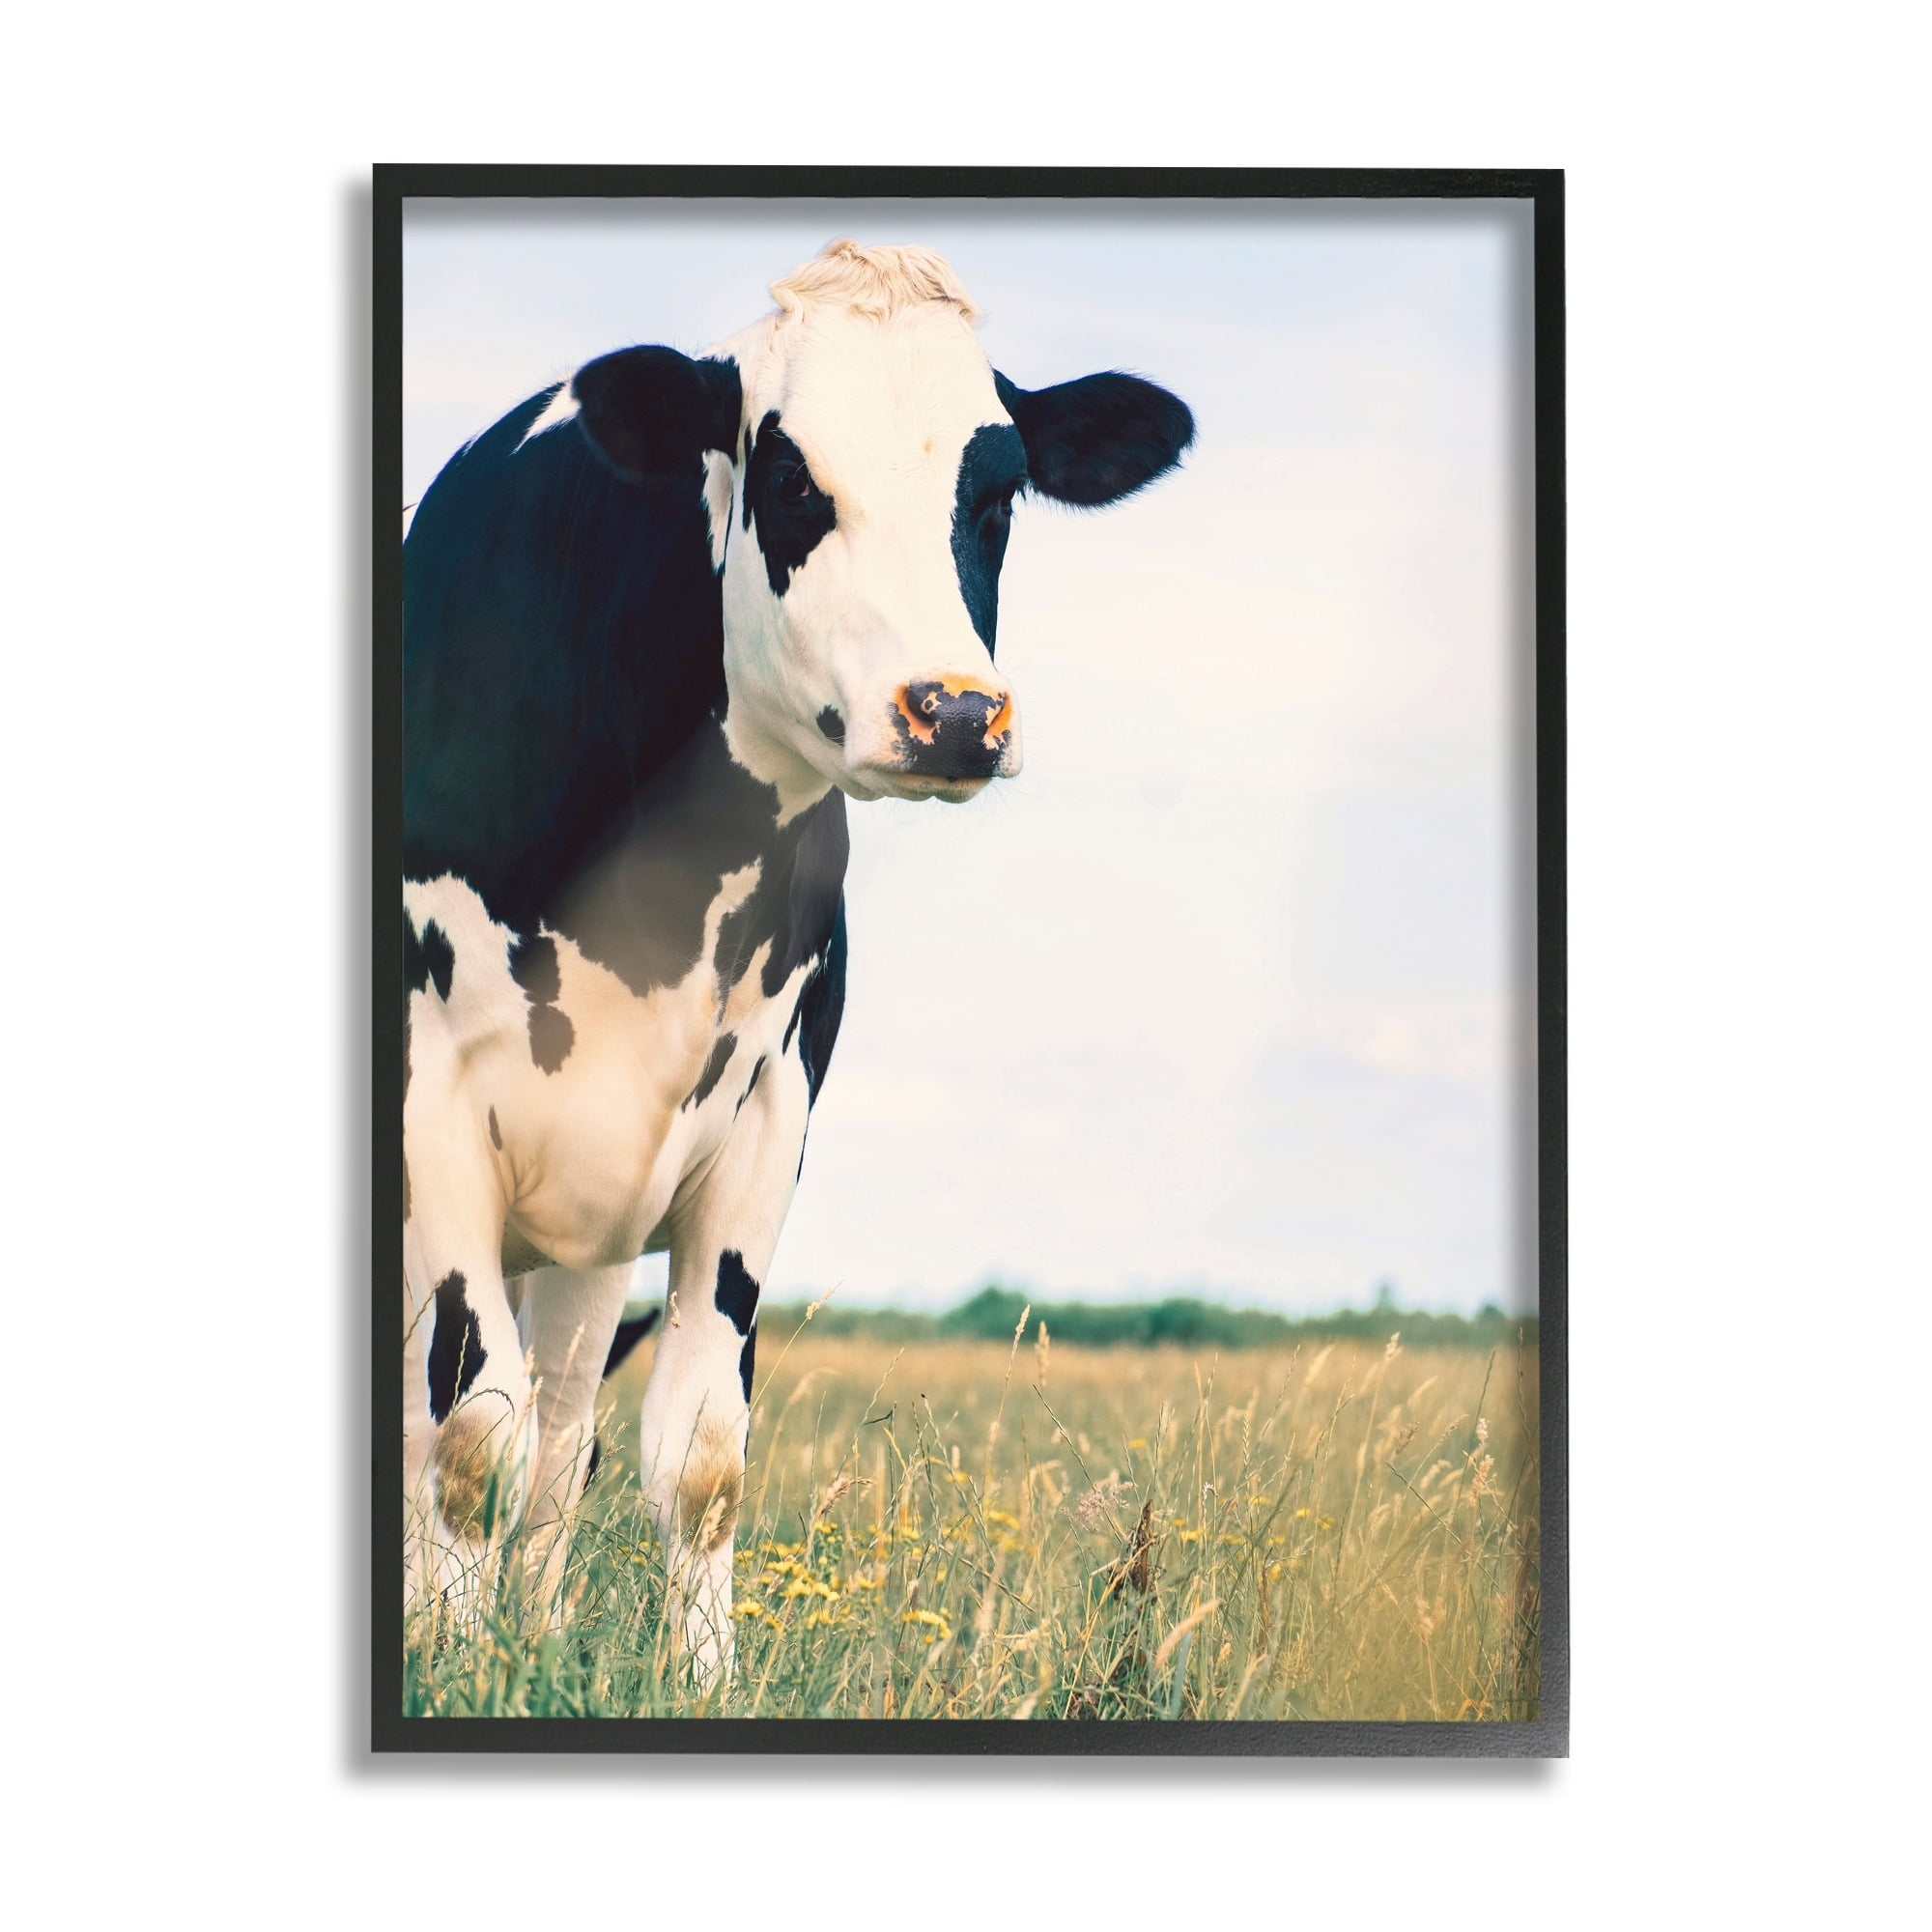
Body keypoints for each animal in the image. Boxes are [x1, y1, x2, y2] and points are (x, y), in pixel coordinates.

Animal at [402, 239, 1192, 1681]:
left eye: (997, 491)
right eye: (786, 478)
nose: (955, 712)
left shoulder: (763, 1112)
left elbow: (689, 1455)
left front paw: (681, 1677)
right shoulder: (434, 1093)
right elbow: (471, 1435)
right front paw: (456, 1672)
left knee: (560, 1434)